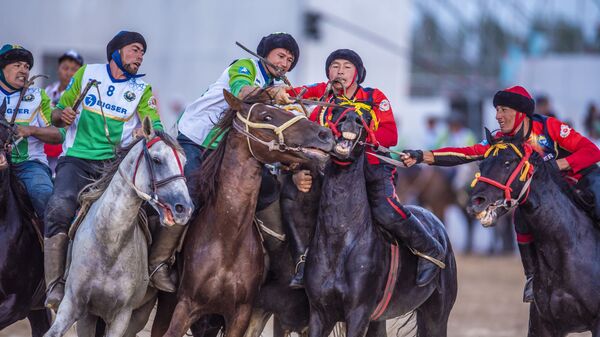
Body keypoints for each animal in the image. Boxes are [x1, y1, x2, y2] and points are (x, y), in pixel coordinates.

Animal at [43, 116, 193, 336]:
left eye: (183, 163)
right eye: (157, 160)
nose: (184, 208)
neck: (108, 245)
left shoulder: (122, 316)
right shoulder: (73, 306)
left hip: (139, 316)